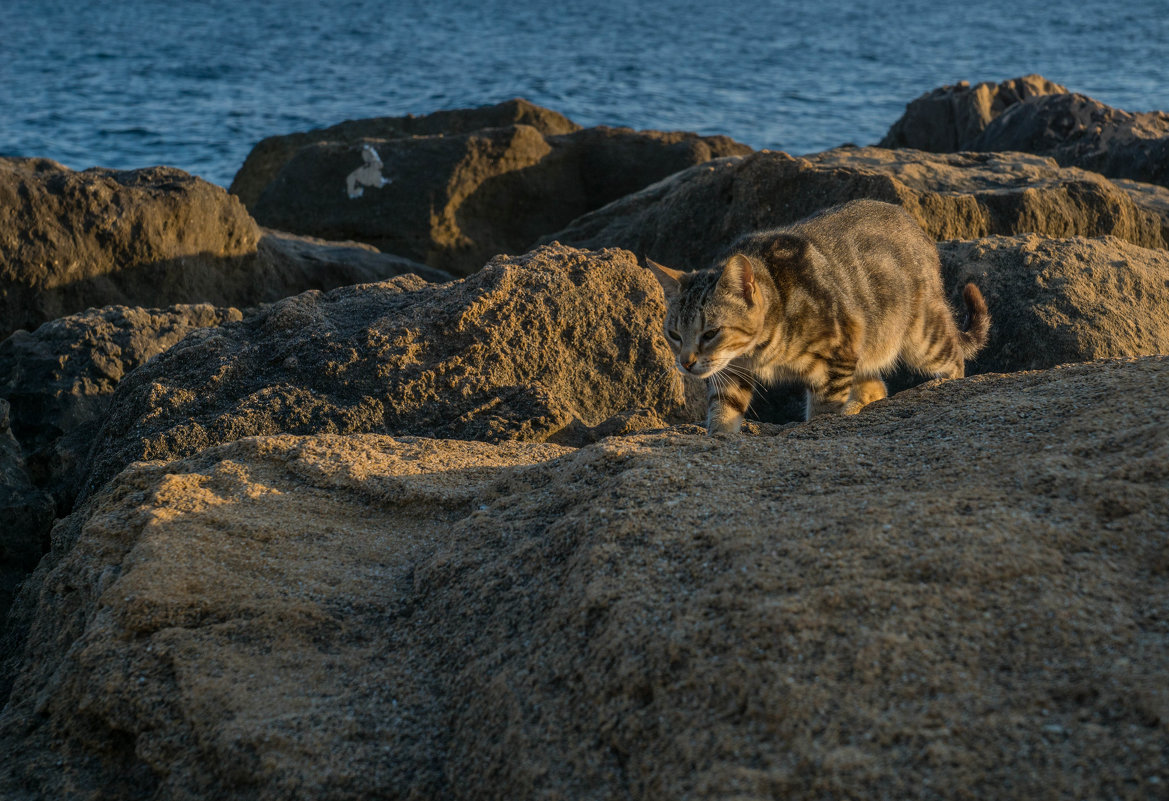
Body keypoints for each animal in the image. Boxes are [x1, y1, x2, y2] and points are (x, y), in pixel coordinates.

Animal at [645, 199, 991, 437]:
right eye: (674, 335)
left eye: (710, 333)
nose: (686, 363)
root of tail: (918, 229)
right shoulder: (732, 369)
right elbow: (723, 408)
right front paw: (719, 434)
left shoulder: (838, 355)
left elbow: (823, 412)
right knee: (876, 385)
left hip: (922, 336)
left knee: (954, 358)